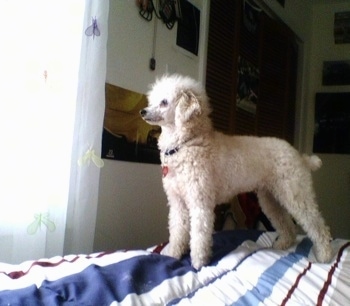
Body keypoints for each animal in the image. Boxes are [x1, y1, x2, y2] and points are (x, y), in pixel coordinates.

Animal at [139, 74, 330, 270]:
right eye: (153, 101)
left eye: (164, 102)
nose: (142, 112)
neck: (187, 143)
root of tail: (300, 156)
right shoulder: (178, 203)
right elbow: (177, 231)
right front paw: (173, 255)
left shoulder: (200, 203)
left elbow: (199, 235)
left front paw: (198, 263)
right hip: (271, 198)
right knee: (287, 225)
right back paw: (284, 244)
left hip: (295, 194)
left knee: (318, 227)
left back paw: (324, 255)